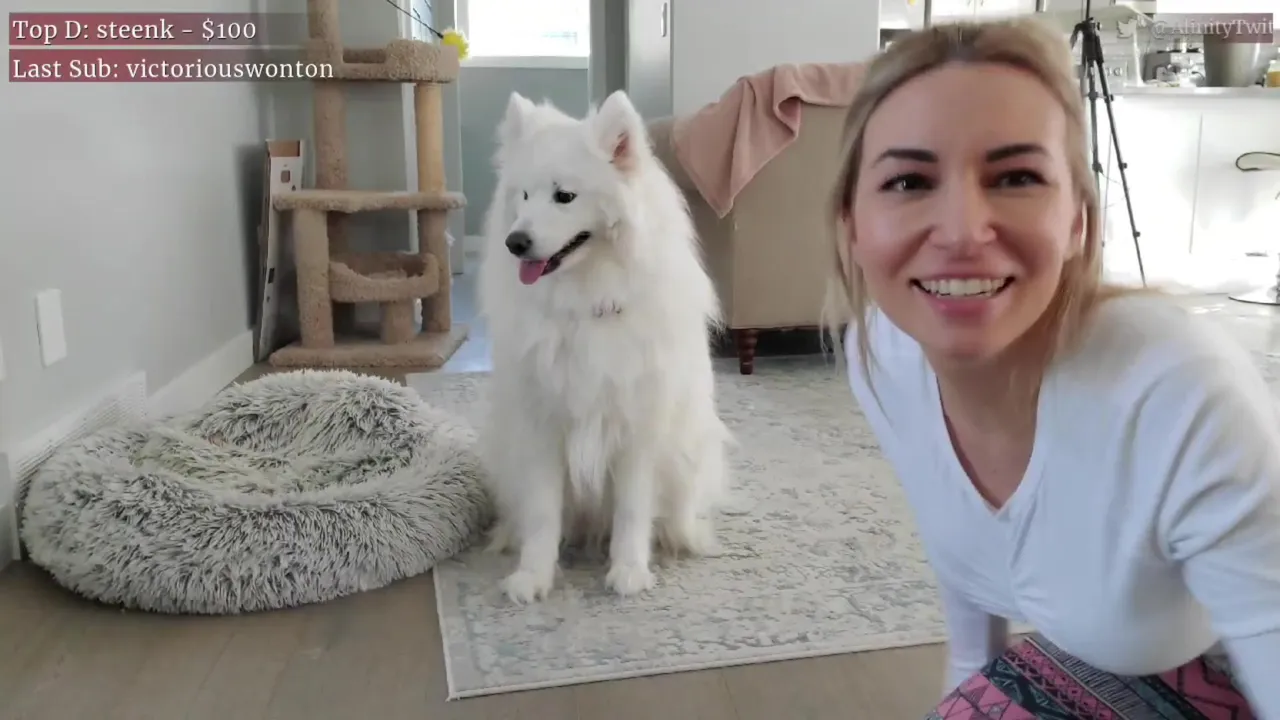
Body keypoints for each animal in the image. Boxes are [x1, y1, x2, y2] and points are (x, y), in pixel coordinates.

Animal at [476, 89, 731, 603]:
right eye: (524, 196)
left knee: (676, 513)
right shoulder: (542, 426)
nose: (515, 241)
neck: (587, 303)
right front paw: (533, 576)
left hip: (690, 448)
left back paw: (681, 538)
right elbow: (542, 513)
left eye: (564, 196)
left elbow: (632, 510)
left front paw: (629, 571)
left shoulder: (638, 428)